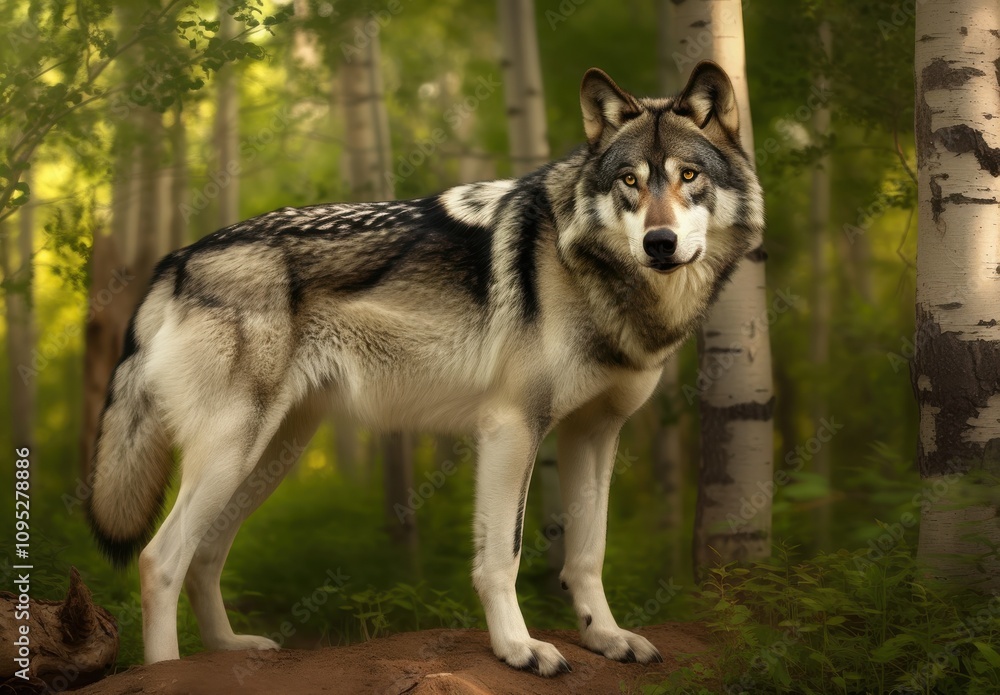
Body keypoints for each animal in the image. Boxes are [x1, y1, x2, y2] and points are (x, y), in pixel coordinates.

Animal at [87, 61, 763, 676]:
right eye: (629, 180)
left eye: (689, 176)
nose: (659, 243)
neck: (592, 274)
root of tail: (176, 260)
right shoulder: (511, 428)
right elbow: (503, 556)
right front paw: (519, 649)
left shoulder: (594, 434)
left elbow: (587, 555)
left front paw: (607, 638)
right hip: (234, 450)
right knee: (160, 559)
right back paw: (167, 671)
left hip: (270, 455)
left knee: (205, 555)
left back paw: (229, 649)